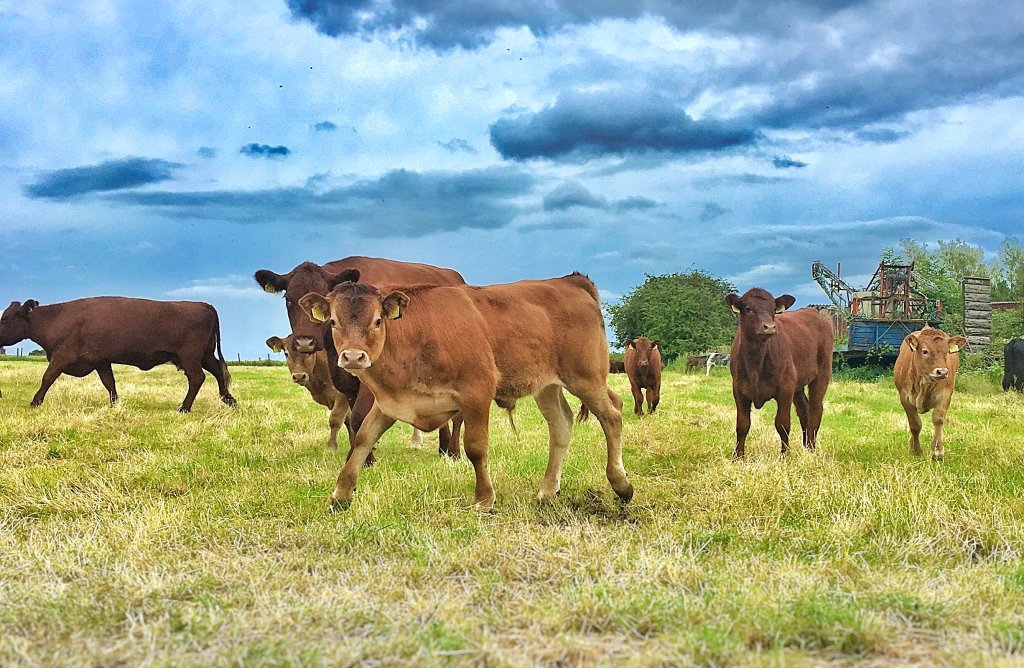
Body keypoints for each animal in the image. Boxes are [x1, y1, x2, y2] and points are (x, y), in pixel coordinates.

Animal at [0, 298, 235, 411]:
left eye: (5, 318)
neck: (56, 319)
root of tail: (203, 304)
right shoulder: (101, 360)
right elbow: (109, 383)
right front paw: (115, 404)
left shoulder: (62, 355)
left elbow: (47, 377)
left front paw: (34, 403)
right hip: (204, 355)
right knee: (219, 371)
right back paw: (229, 400)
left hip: (190, 356)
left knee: (197, 378)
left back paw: (184, 408)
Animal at [254, 257, 466, 461]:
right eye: (288, 299)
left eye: (325, 295)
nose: (305, 342)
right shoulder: (346, 382)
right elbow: (352, 419)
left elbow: (358, 417)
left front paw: (366, 460)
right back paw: (443, 448)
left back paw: (454, 452)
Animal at [298, 270, 633, 511]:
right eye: (333, 321)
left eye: (378, 320)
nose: (353, 357)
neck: (415, 337)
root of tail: (570, 281)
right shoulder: (390, 402)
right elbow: (363, 440)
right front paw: (341, 495)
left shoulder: (477, 393)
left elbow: (475, 447)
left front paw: (484, 498)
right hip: (547, 385)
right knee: (561, 425)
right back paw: (547, 491)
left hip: (585, 377)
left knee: (612, 415)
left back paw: (621, 484)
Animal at [725, 288, 834, 459]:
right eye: (748, 308)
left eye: (773, 310)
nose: (769, 327)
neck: (756, 362)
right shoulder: (739, 389)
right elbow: (742, 424)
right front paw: (738, 457)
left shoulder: (785, 389)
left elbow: (782, 424)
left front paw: (784, 456)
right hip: (798, 384)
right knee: (804, 411)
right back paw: (805, 447)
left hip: (822, 373)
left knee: (815, 410)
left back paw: (811, 449)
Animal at [894, 326, 967, 461]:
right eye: (925, 351)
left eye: (947, 352)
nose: (942, 372)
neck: (924, 383)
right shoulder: (905, 398)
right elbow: (914, 425)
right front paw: (916, 450)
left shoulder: (945, 395)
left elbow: (938, 420)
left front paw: (937, 452)